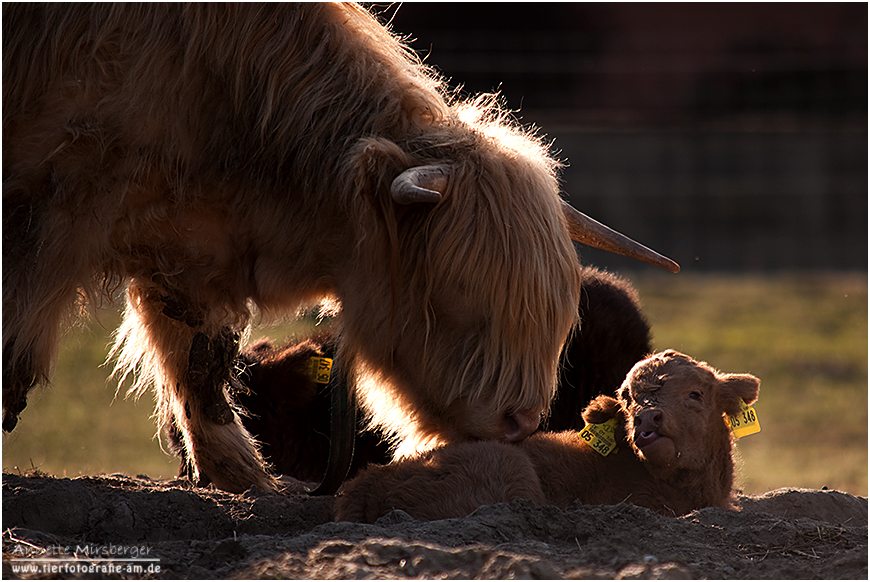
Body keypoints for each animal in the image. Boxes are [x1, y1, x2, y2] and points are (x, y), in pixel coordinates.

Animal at [3, 2, 676, 496]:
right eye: (457, 288)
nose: (521, 422)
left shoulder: (189, 251)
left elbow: (200, 363)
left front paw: (243, 477)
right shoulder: (58, 211)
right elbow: (21, 349)